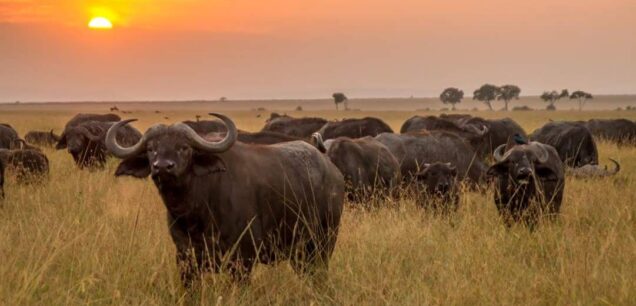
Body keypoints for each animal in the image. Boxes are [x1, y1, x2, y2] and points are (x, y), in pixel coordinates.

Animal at [105, 113, 342, 286]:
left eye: (184, 147)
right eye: (151, 149)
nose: (163, 167)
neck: (195, 213)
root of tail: (331, 168)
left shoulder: (243, 259)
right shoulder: (185, 258)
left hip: (323, 243)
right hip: (300, 252)